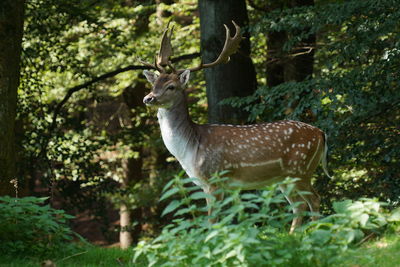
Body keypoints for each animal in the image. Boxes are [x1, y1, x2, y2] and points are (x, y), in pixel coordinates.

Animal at [141, 22, 332, 233]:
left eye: (171, 87)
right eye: (154, 84)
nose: (148, 98)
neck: (190, 149)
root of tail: (321, 133)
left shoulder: (215, 179)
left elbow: (213, 222)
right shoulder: (209, 185)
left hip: (300, 169)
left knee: (314, 200)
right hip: (285, 178)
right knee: (298, 206)